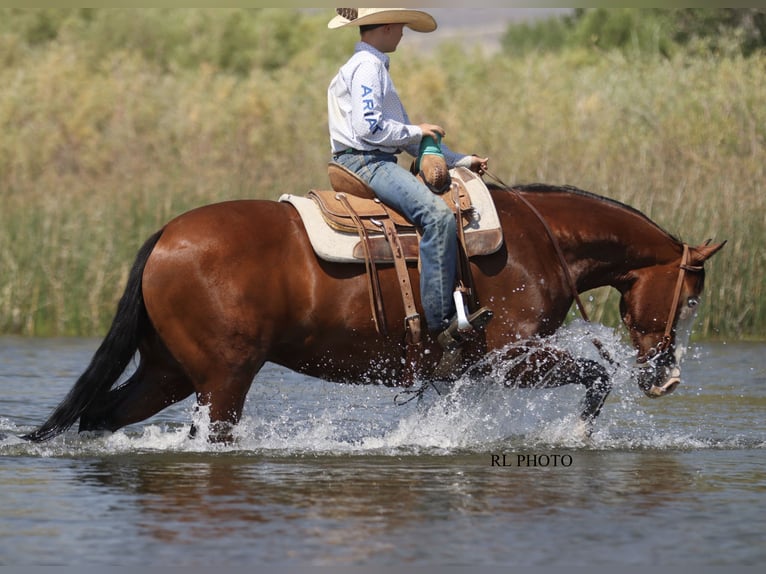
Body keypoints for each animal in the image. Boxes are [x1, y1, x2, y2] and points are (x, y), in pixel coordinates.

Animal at [22, 180, 725, 443]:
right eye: (691, 297)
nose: (666, 378)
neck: (535, 241)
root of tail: (167, 235)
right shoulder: (511, 358)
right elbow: (595, 377)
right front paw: (575, 435)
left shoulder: (466, 372)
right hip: (223, 376)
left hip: (168, 370)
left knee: (102, 415)